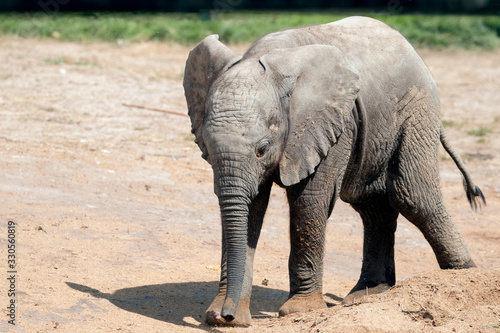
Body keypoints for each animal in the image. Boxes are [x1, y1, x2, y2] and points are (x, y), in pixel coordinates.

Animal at [183, 15, 484, 324]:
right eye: (206, 148)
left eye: (262, 149)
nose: (227, 316)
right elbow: (253, 207)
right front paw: (223, 317)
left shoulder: (332, 124)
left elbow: (308, 202)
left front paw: (299, 310)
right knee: (373, 206)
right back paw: (368, 294)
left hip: (416, 112)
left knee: (413, 197)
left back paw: (463, 276)